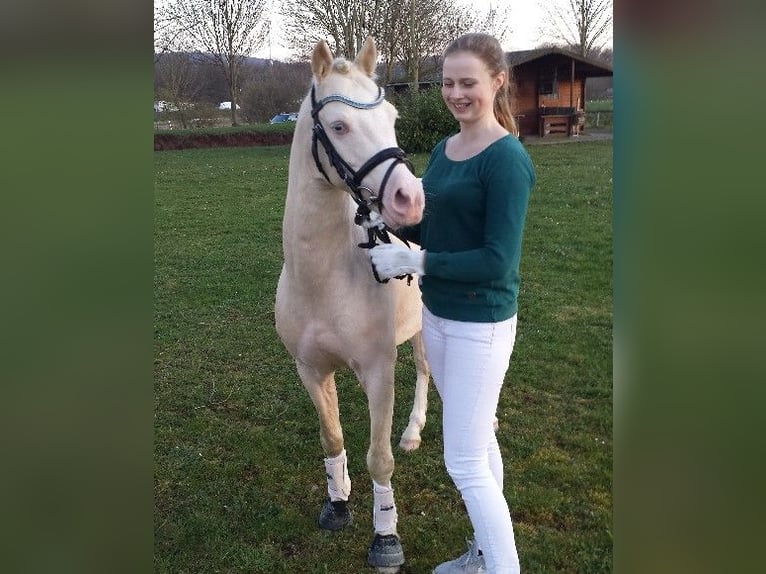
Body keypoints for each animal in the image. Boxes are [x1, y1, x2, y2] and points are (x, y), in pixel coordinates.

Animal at [276, 39, 432, 572]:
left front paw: (385, 538)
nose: (410, 199)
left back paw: (414, 432)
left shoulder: (378, 372)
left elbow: (379, 459)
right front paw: (337, 501)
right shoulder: (310, 369)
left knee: (426, 371)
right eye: (340, 126)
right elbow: (334, 438)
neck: (324, 279)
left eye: (391, 117)